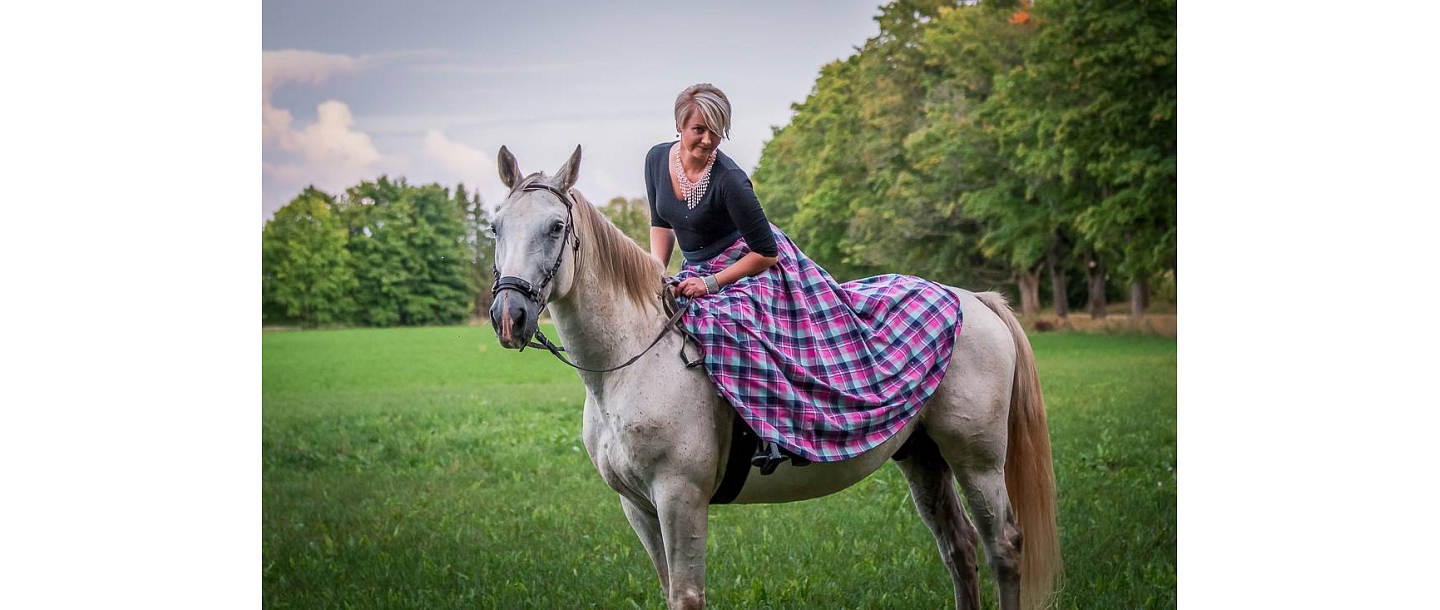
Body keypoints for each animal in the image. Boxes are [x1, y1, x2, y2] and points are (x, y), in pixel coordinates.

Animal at [487, 145, 1061, 610]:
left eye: (555, 227)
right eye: (496, 227)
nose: (509, 316)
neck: (632, 364)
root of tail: (973, 301)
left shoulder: (680, 499)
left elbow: (687, 596)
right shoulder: (638, 507)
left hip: (977, 460)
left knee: (1004, 547)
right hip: (923, 457)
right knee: (959, 549)